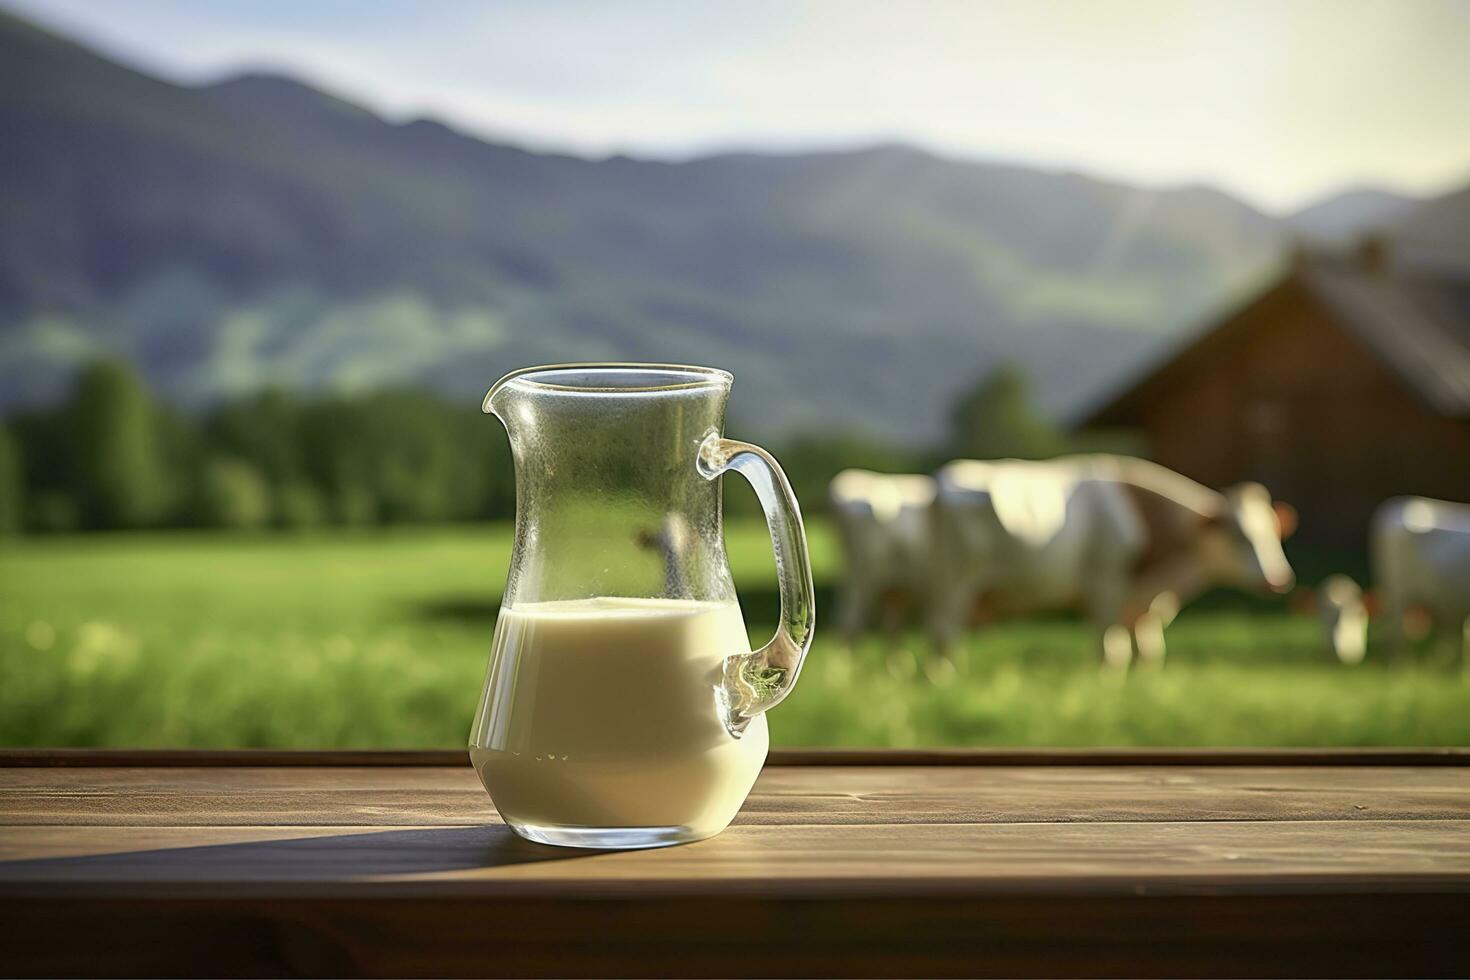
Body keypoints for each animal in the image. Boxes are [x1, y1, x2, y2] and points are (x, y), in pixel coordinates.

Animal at [929, 455, 1299, 669]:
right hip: (954, 584)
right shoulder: (1104, 588)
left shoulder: (1144, 604)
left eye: (1272, 535)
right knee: (944, 633)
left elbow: (1149, 648)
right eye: (1239, 536)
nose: (1278, 578)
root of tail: (939, 483)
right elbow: (1111, 650)